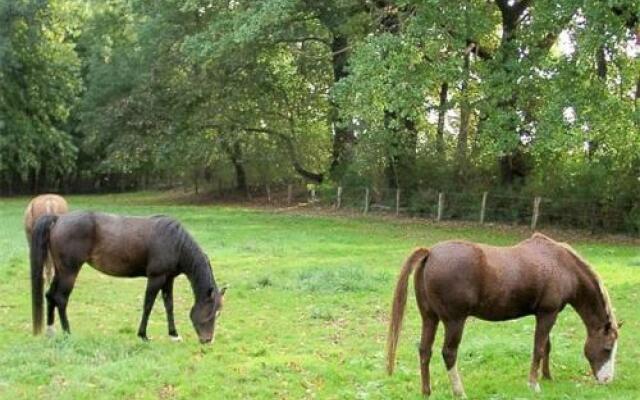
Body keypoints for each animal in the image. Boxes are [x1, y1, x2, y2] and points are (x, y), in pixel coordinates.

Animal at [30, 211, 225, 342]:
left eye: (218, 313)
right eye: (210, 312)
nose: (207, 340)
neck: (175, 243)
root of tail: (58, 219)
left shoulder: (168, 278)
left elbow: (169, 305)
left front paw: (174, 334)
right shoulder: (156, 277)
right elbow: (148, 305)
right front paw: (143, 335)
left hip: (60, 271)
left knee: (50, 296)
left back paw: (50, 331)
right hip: (69, 271)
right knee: (61, 299)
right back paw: (68, 333)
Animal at [388, 233, 616, 398]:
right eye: (607, 348)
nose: (607, 380)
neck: (561, 264)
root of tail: (430, 253)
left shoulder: (545, 315)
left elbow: (547, 347)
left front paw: (547, 377)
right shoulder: (547, 314)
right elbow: (539, 348)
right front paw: (534, 384)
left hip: (430, 318)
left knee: (425, 351)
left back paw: (426, 392)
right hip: (454, 321)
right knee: (448, 353)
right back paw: (459, 392)